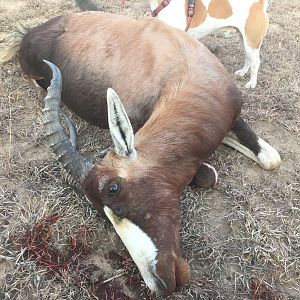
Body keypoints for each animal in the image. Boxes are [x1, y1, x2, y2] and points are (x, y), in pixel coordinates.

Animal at [1, 11, 280, 296]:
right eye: (101, 213)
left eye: (113, 189)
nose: (158, 283)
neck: (180, 64)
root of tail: (31, 32)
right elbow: (208, 174)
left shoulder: (232, 116)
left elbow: (272, 159)